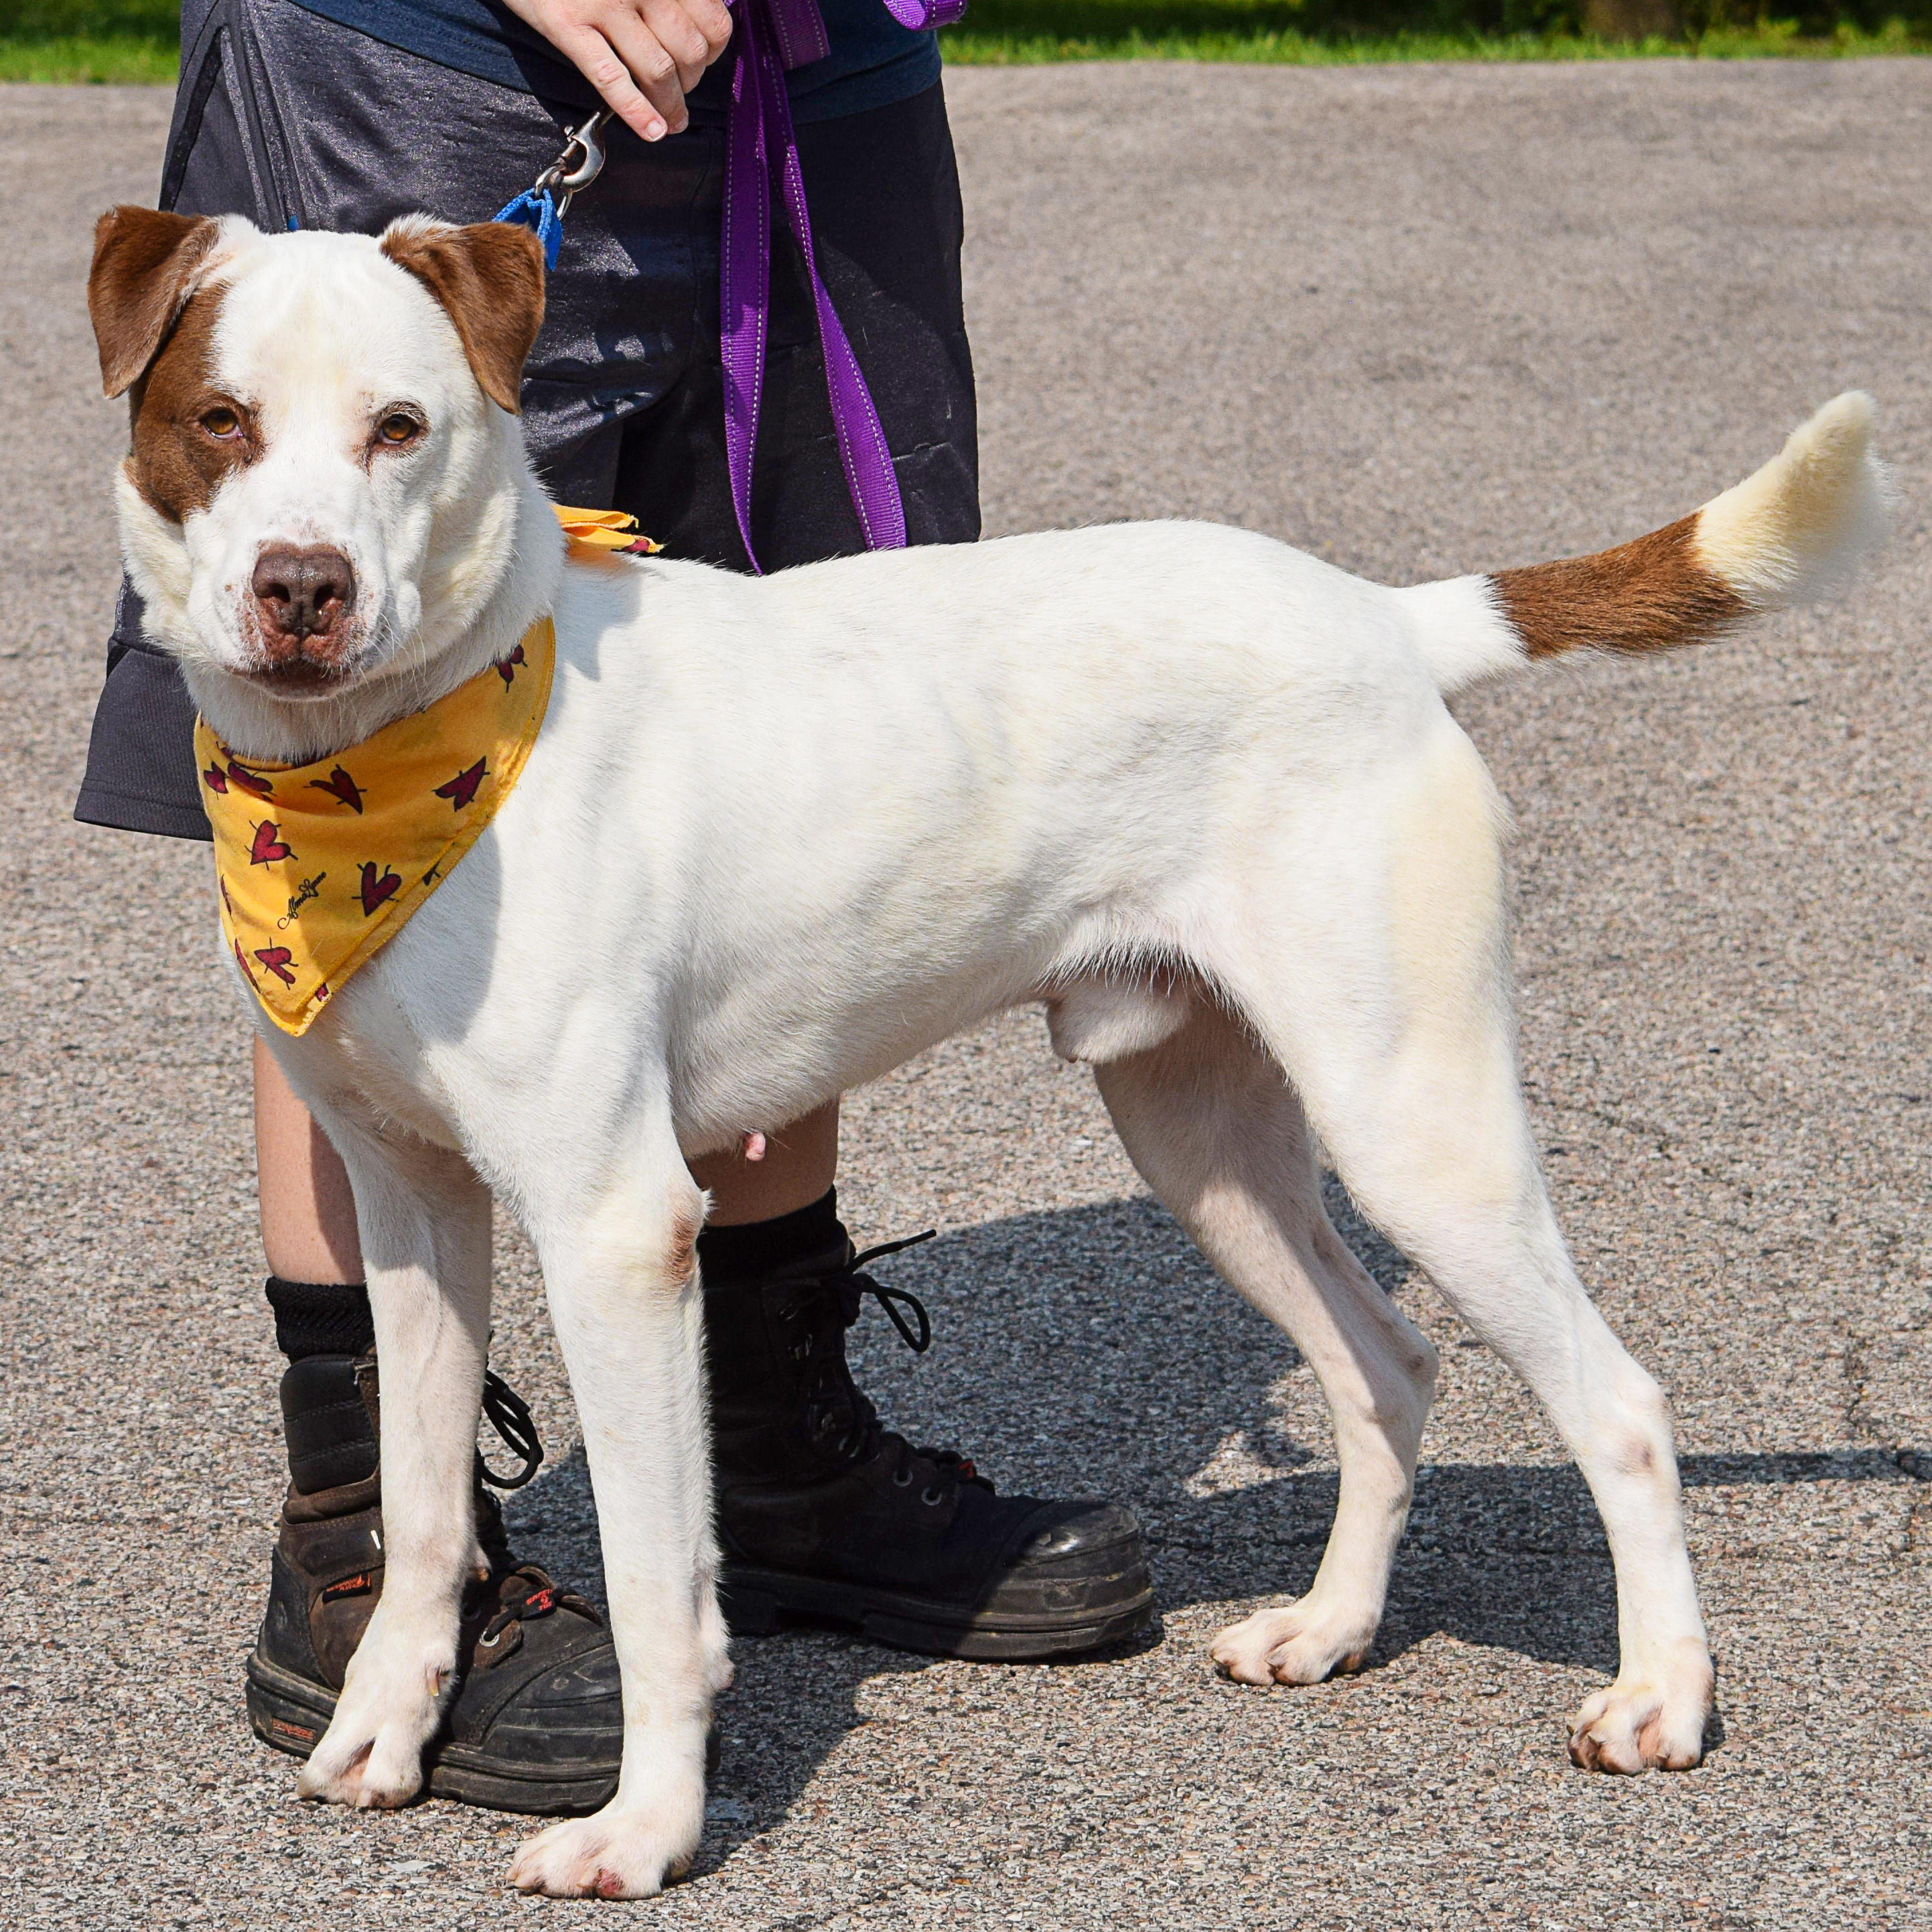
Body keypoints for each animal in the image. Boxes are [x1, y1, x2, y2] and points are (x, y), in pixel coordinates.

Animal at [94, 204, 1885, 1893]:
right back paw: (1328, 1627)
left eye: (400, 426)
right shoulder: (407, 1207)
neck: (400, 762)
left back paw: (1659, 1700)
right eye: (220, 419)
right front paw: (382, 1728)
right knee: (1387, 1362)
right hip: (1203, 1136)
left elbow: (664, 1580)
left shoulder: (616, 1229)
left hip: (1411, 1117)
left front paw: (648, 1830)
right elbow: (418, 1509)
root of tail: (1384, 620)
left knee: (1620, 1403)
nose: (303, 590)